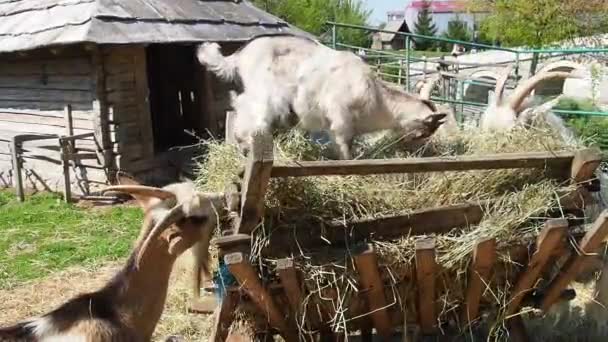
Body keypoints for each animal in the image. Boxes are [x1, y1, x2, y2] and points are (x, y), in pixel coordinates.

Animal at [198, 34, 446, 160]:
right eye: (425, 130)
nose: (415, 149)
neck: (378, 100)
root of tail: (238, 57)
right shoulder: (340, 118)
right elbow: (345, 150)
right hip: (263, 97)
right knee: (247, 121)